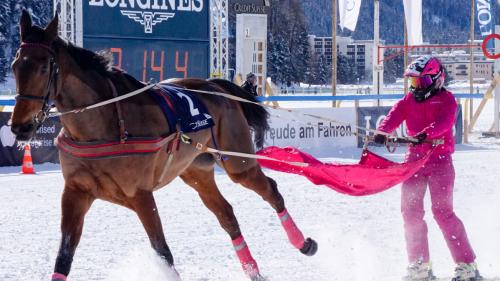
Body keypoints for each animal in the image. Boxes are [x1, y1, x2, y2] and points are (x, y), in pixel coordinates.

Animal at [9, 10, 318, 280]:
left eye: (43, 66)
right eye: (15, 65)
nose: (20, 126)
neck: (106, 125)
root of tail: (215, 86)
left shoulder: (141, 195)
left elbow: (163, 253)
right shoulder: (76, 192)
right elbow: (64, 256)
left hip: (238, 163)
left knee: (271, 191)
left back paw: (303, 243)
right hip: (196, 172)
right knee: (227, 215)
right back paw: (253, 271)